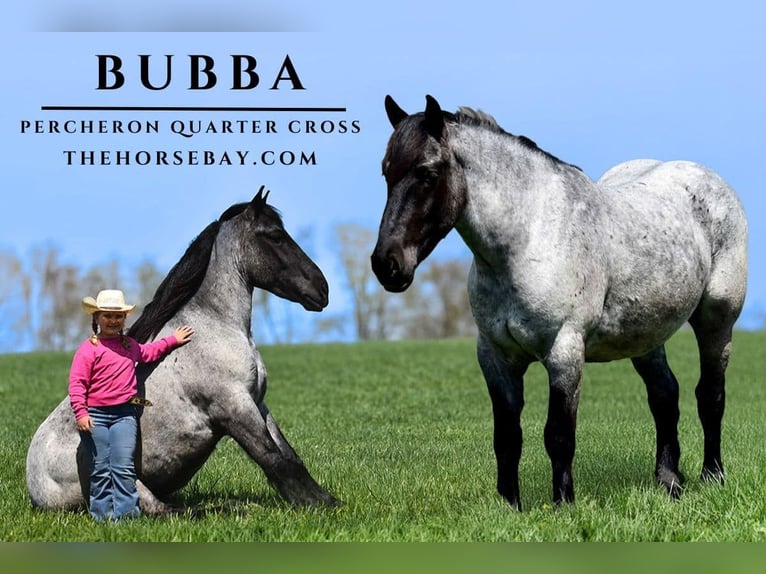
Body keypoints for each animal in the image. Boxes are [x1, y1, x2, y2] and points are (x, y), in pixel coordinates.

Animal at [26, 187, 339, 513]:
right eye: (276, 236)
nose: (322, 289)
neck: (214, 326)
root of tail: (36, 488)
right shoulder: (234, 407)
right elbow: (274, 459)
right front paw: (315, 505)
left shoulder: (258, 404)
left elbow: (290, 456)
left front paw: (328, 501)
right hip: (125, 477)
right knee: (165, 510)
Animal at [371, 95, 748, 510]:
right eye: (386, 174)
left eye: (427, 172)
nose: (387, 265)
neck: (528, 238)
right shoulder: (495, 357)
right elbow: (507, 439)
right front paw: (510, 506)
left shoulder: (564, 352)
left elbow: (559, 436)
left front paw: (563, 504)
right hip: (646, 335)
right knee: (665, 396)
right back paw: (669, 482)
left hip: (717, 319)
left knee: (710, 395)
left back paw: (712, 476)